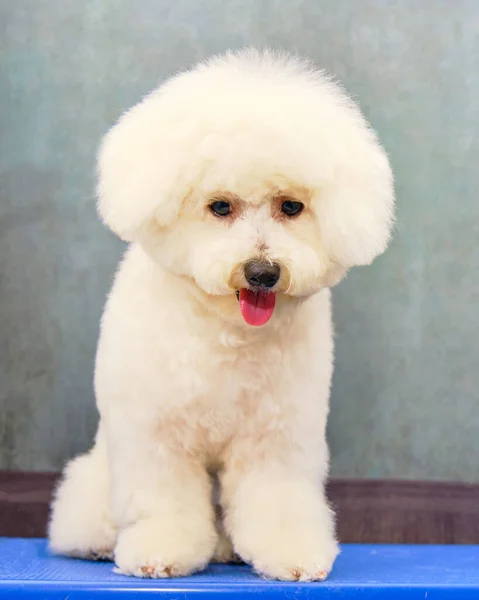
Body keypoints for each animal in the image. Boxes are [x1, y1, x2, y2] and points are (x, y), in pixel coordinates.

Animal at [47, 49, 394, 584]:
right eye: (220, 206)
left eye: (291, 206)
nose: (262, 272)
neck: (228, 333)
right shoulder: (156, 435)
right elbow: (163, 502)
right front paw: (161, 552)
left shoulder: (277, 436)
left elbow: (278, 501)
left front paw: (291, 554)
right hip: (96, 478)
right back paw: (101, 546)